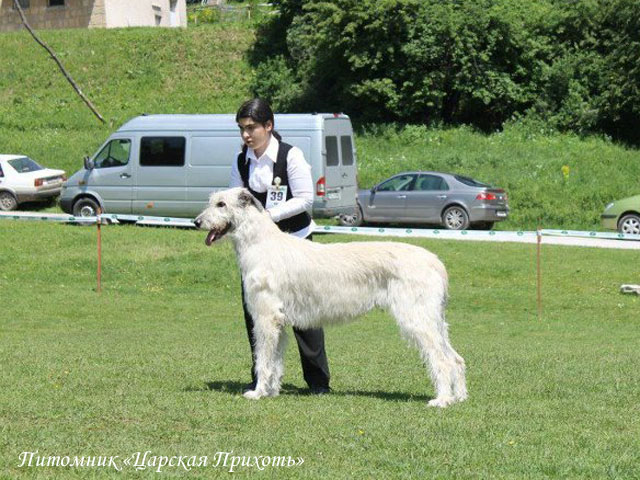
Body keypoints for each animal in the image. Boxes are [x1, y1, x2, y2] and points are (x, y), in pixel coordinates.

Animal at [192, 186, 468, 406]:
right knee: (456, 358)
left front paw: (258, 392)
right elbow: (276, 360)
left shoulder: (265, 318)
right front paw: (271, 391)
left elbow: (263, 359)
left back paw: (442, 400)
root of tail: (436, 262)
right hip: (435, 319)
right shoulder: (279, 321)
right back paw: (460, 397)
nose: (196, 222)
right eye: (212, 201)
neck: (260, 243)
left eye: (221, 204)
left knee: (442, 360)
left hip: (417, 317)